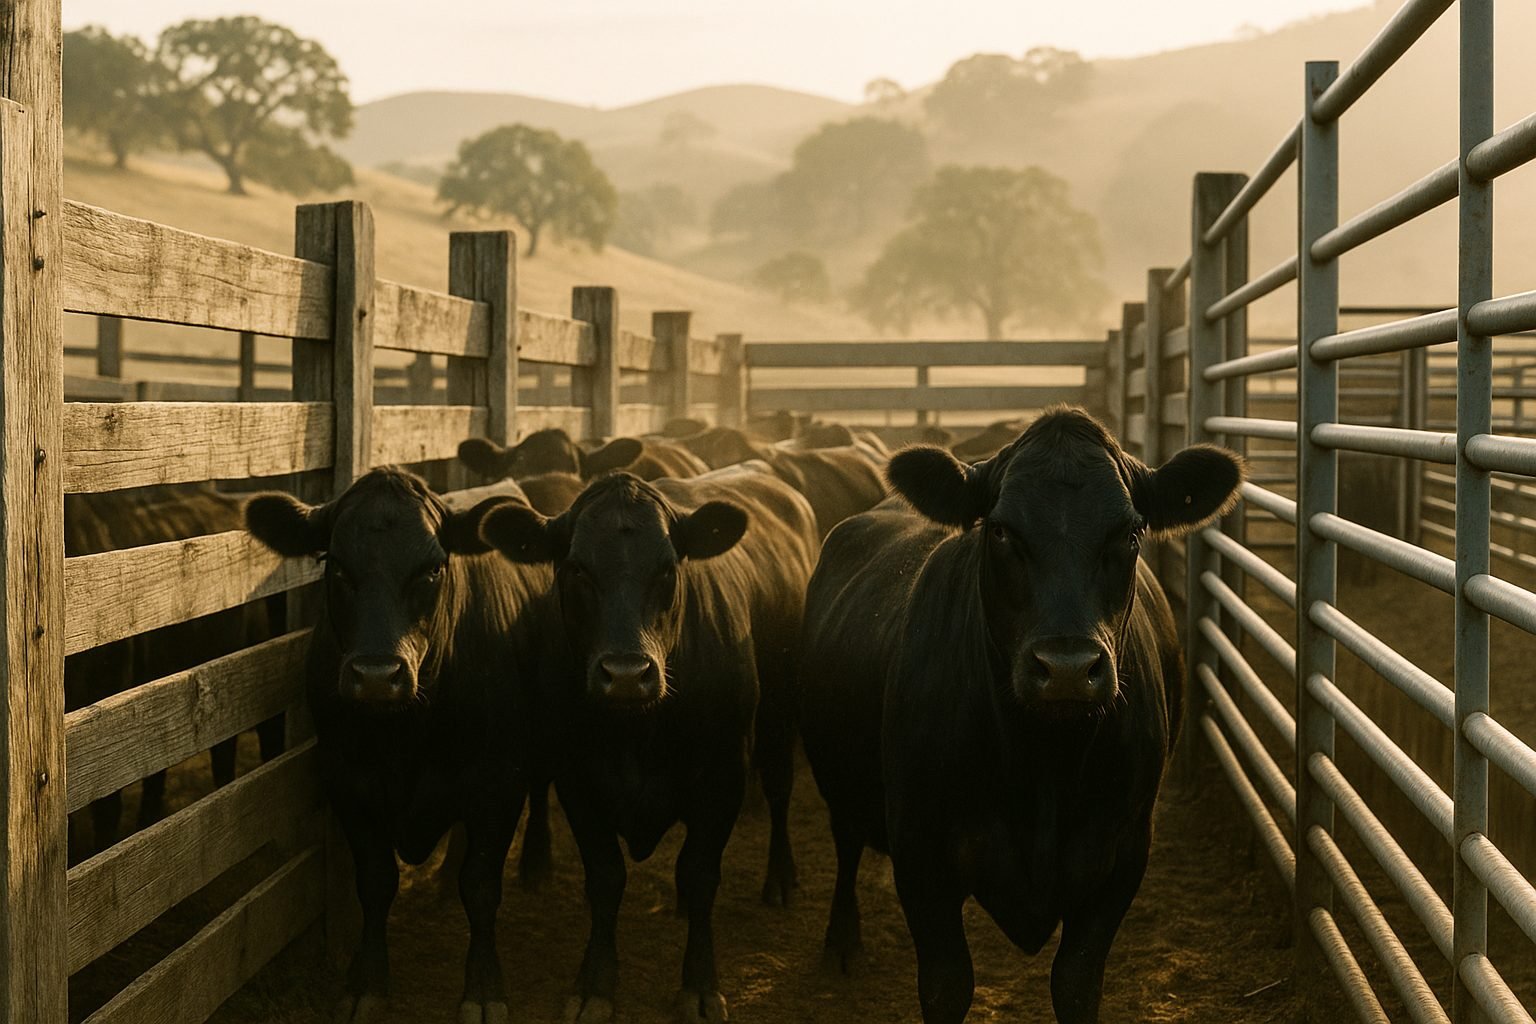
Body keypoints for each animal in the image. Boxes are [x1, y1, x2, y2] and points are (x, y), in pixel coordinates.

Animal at [244, 468, 550, 1023]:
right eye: (336, 566)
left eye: (432, 569)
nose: (376, 675)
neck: (405, 733)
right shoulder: (347, 780)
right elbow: (375, 881)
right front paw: (367, 982)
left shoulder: (499, 782)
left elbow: (481, 886)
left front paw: (483, 989)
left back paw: (536, 864)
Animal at [477, 463, 818, 1023]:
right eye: (576, 569)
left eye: (668, 569)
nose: (626, 675)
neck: (636, 731)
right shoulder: (578, 779)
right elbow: (606, 877)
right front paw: (595, 983)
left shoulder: (723, 773)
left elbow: (700, 874)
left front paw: (699, 985)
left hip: (780, 711)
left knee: (778, 788)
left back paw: (782, 878)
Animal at [800, 407, 1243, 1024]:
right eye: (1001, 530)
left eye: (1130, 533)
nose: (1066, 668)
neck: (1042, 765)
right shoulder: (920, 854)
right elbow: (946, 986)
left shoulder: (1122, 854)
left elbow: (1075, 984)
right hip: (837, 775)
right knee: (846, 844)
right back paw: (842, 942)